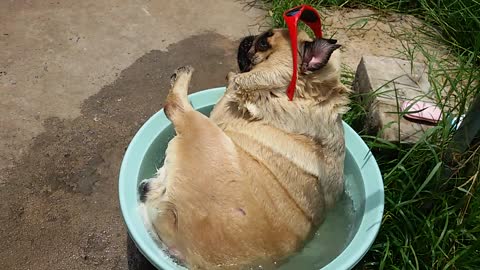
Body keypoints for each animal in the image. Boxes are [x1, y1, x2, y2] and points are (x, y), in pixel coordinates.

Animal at [138, 28, 348, 268]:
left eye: (264, 42)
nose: (249, 38)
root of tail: (188, 249)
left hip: (204, 129)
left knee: (174, 107)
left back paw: (183, 75)